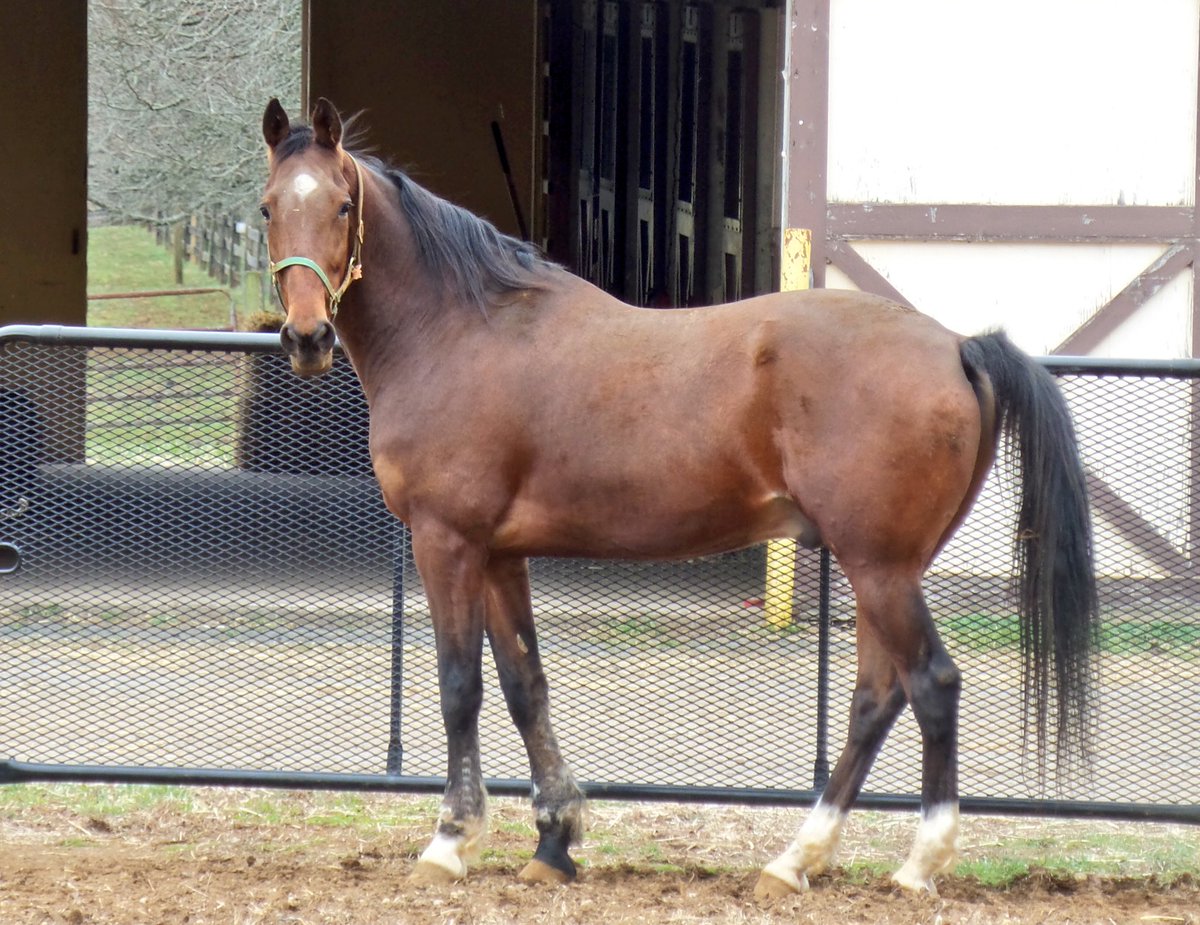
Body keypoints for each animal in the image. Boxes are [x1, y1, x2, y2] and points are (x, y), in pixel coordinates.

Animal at [259, 98, 1098, 897]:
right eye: (269, 207)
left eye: (341, 205)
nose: (305, 337)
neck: (462, 328)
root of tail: (956, 346)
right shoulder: (499, 554)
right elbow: (526, 685)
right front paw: (554, 840)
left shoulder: (448, 542)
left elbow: (460, 685)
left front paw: (450, 840)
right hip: (883, 570)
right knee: (874, 697)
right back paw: (796, 859)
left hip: (879, 567)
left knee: (931, 685)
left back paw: (917, 863)